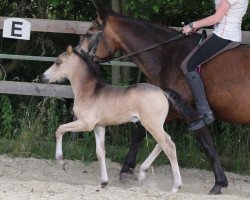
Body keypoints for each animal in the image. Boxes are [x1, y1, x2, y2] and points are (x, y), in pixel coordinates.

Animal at [79, 6, 250, 195]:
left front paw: (219, 183)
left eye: (88, 34)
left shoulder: (192, 116)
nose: (79, 57)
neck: (167, 56)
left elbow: (208, 146)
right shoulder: (167, 109)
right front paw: (127, 169)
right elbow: (140, 134)